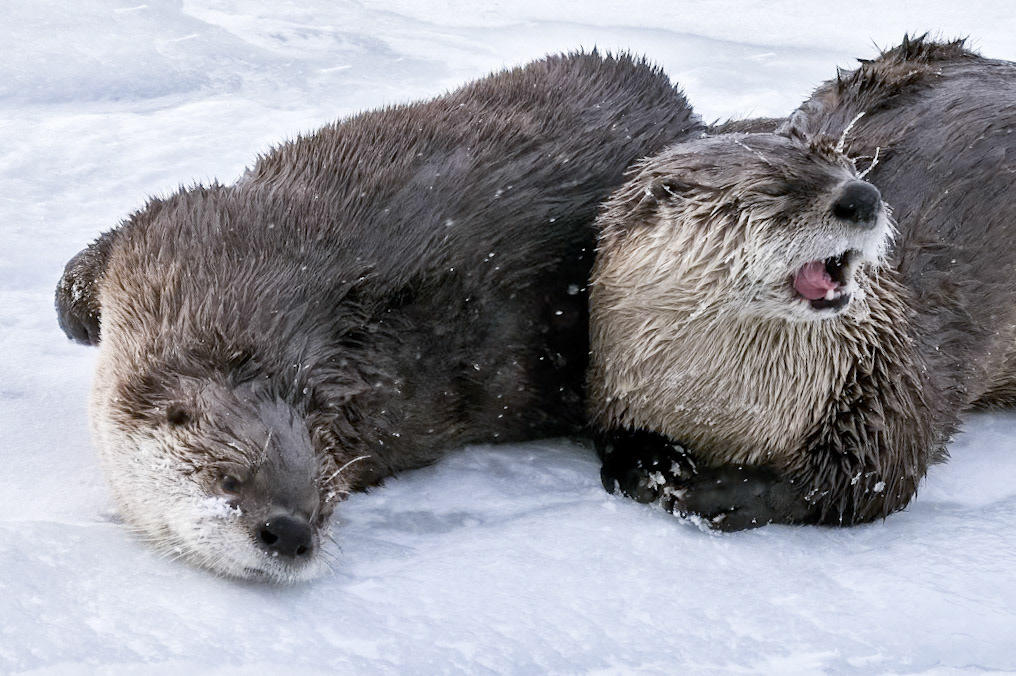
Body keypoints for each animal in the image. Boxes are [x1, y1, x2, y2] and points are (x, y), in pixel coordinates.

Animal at [56, 52, 702, 581]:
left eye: (320, 502)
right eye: (230, 478)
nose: (289, 533)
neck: (229, 307)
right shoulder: (175, 235)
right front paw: (76, 314)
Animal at [589, 37, 1016, 530]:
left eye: (847, 166)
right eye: (777, 189)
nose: (864, 196)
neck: (725, 409)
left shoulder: (891, 386)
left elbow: (864, 477)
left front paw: (726, 493)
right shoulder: (613, 381)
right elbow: (613, 435)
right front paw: (653, 462)